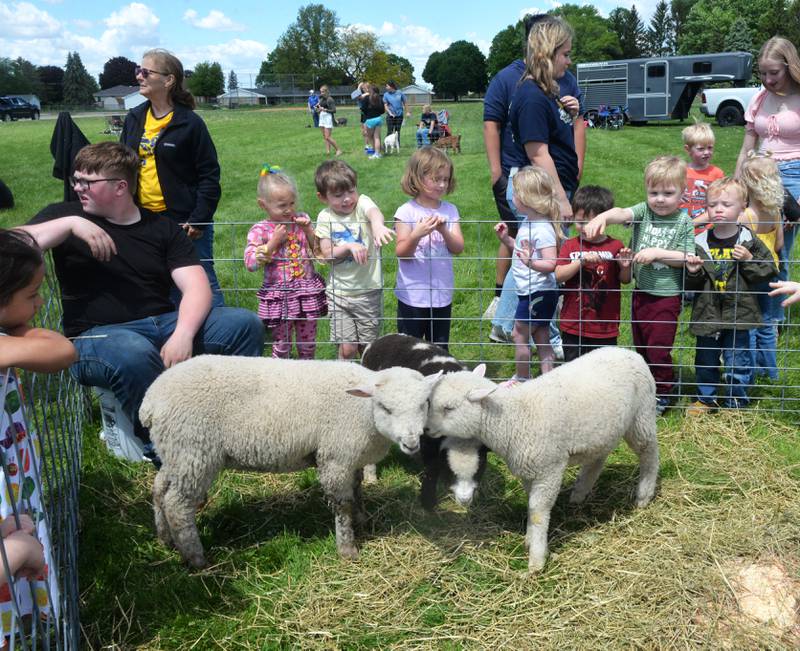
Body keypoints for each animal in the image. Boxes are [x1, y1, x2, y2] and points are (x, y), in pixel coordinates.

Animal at [138, 354, 438, 568]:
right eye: (385, 407)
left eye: (423, 404)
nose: (411, 443)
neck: (362, 410)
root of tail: (150, 402)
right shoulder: (335, 457)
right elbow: (342, 505)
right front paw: (347, 548)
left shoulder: (350, 457)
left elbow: (357, 490)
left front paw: (362, 519)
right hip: (194, 451)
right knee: (178, 505)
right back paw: (196, 558)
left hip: (175, 452)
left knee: (159, 490)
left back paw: (165, 539)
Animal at [360, 336, 488, 510]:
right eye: (448, 468)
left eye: (481, 467)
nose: (464, 501)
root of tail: (382, 339)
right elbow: (431, 468)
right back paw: (371, 478)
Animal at [424, 346, 656, 572]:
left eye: (449, 408)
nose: (425, 429)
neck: (513, 418)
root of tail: (630, 352)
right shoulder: (528, 470)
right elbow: (530, 506)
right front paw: (529, 540)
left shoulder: (549, 470)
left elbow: (538, 512)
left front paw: (536, 561)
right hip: (602, 432)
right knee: (596, 460)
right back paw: (580, 493)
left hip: (642, 416)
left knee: (649, 454)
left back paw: (644, 496)